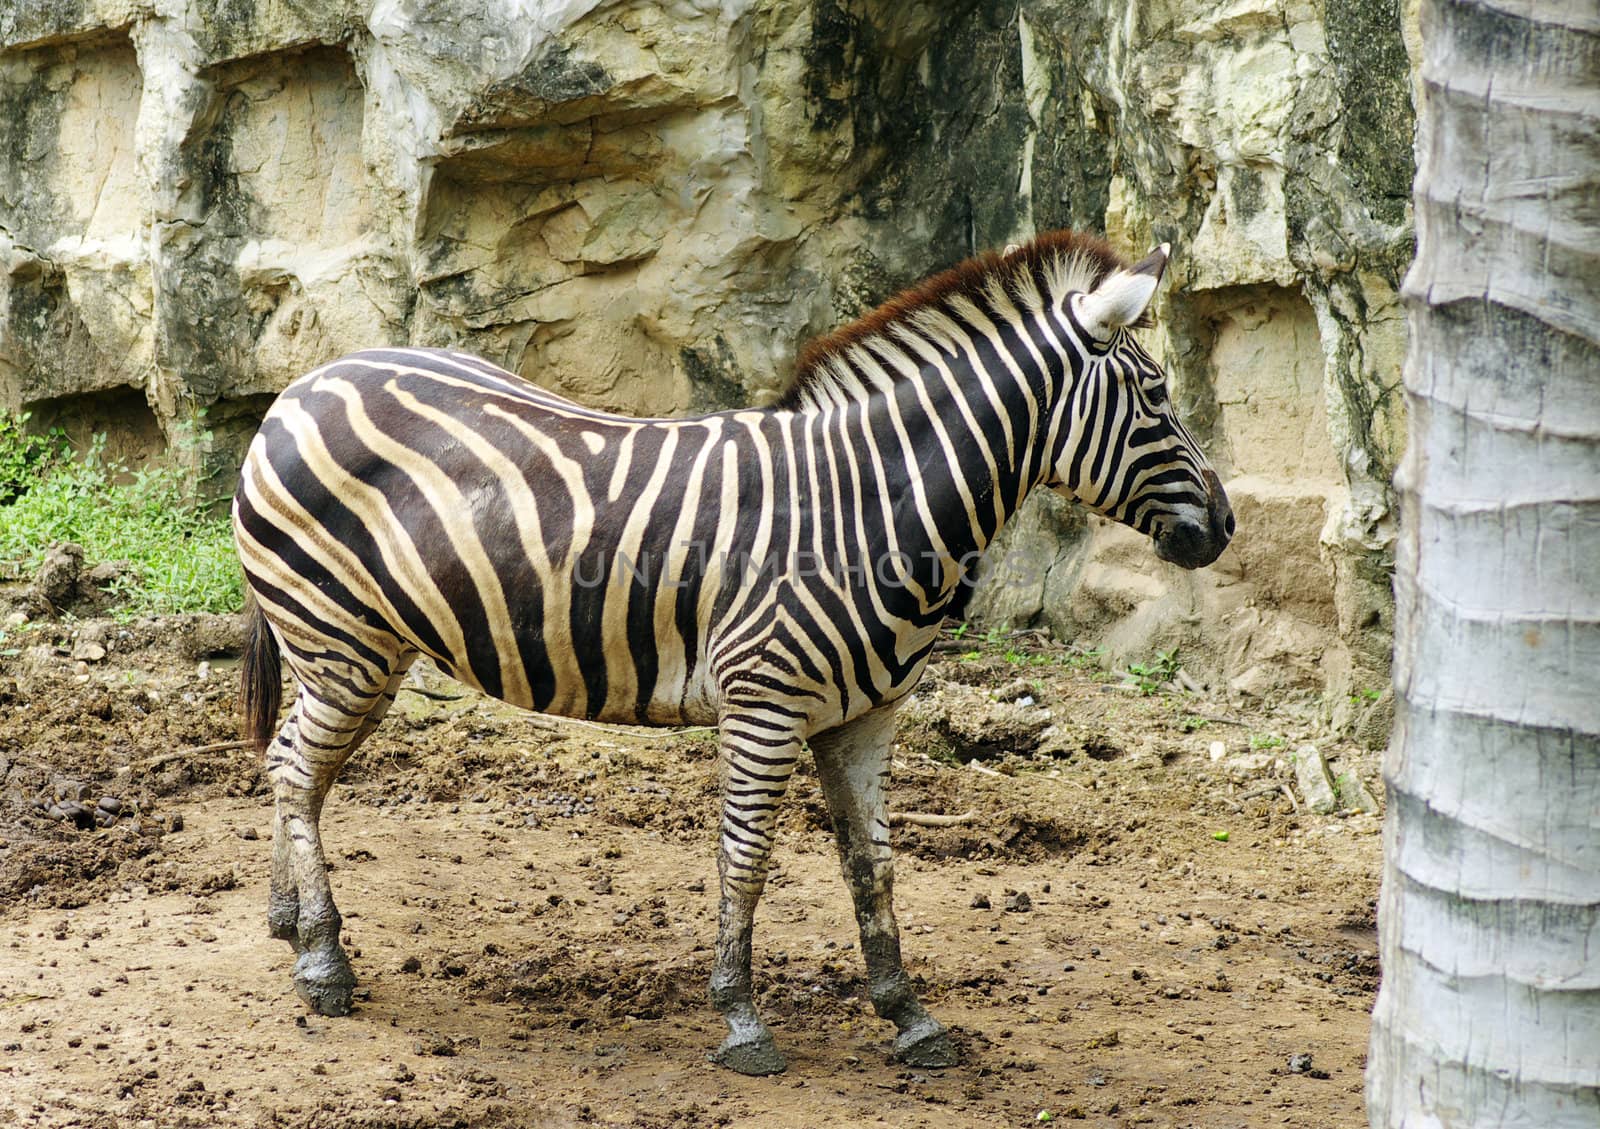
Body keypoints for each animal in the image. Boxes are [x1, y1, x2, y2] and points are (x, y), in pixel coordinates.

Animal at [233, 228, 1235, 1074]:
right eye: (1155, 397)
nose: (1225, 528)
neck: (866, 510)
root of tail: (304, 384)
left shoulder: (868, 715)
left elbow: (873, 864)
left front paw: (908, 1015)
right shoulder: (766, 702)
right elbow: (745, 857)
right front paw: (742, 1018)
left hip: (370, 647)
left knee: (296, 768)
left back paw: (289, 923)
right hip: (338, 638)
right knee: (295, 768)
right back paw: (324, 963)